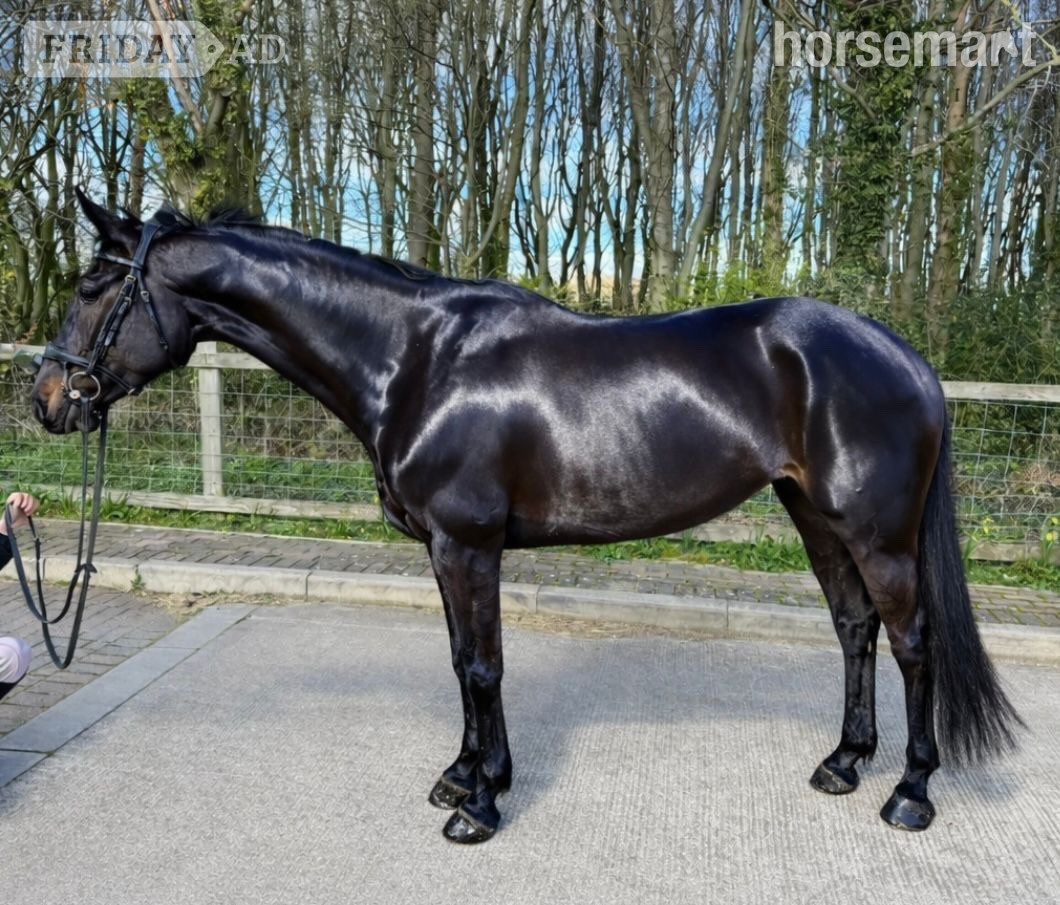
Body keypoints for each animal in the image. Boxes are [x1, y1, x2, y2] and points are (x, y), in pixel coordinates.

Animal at [29, 191, 1021, 844]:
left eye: (89, 287)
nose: (46, 400)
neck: (415, 358)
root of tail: (905, 356)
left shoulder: (468, 544)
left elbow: (482, 665)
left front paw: (481, 804)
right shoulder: (442, 550)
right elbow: (461, 664)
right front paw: (461, 777)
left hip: (878, 534)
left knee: (913, 643)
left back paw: (909, 793)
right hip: (815, 516)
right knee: (854, 628)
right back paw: (844, 763)